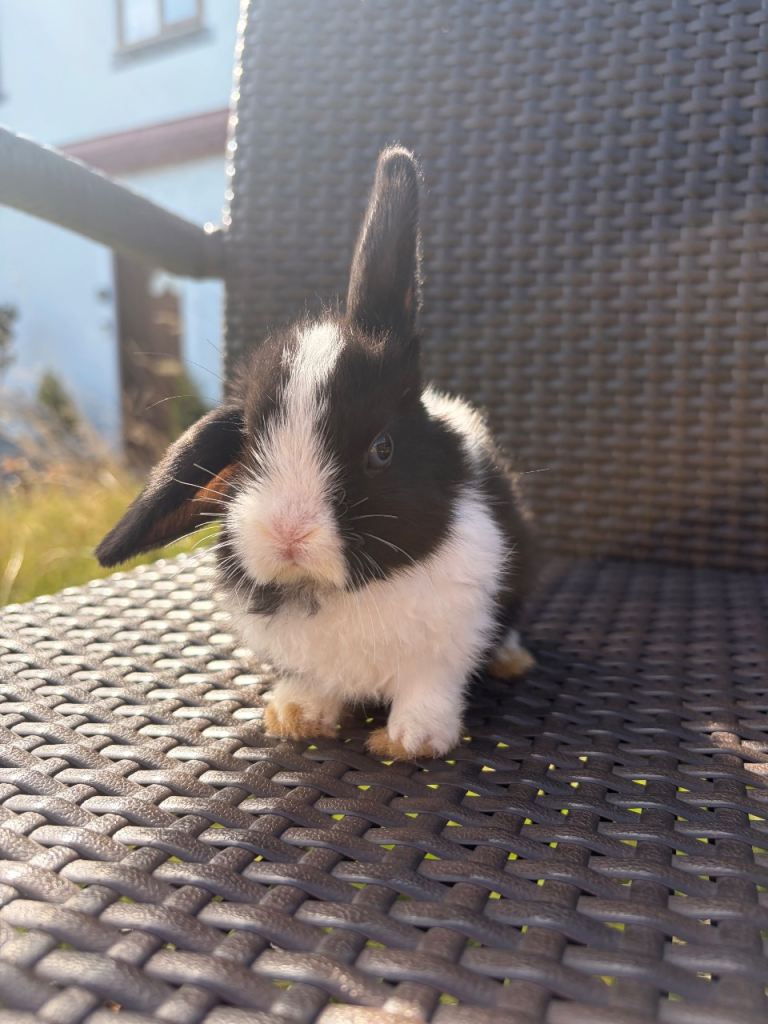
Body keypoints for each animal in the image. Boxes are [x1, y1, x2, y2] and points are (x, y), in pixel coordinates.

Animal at [96, 146, 536, 760]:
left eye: (382, 449)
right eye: (249, 444)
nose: (287, 532)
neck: (342, 592)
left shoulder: (447, 644)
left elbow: (429, 690)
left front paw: (411, 741)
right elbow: (313, 684)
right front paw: (295, 716)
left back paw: (512, 661)